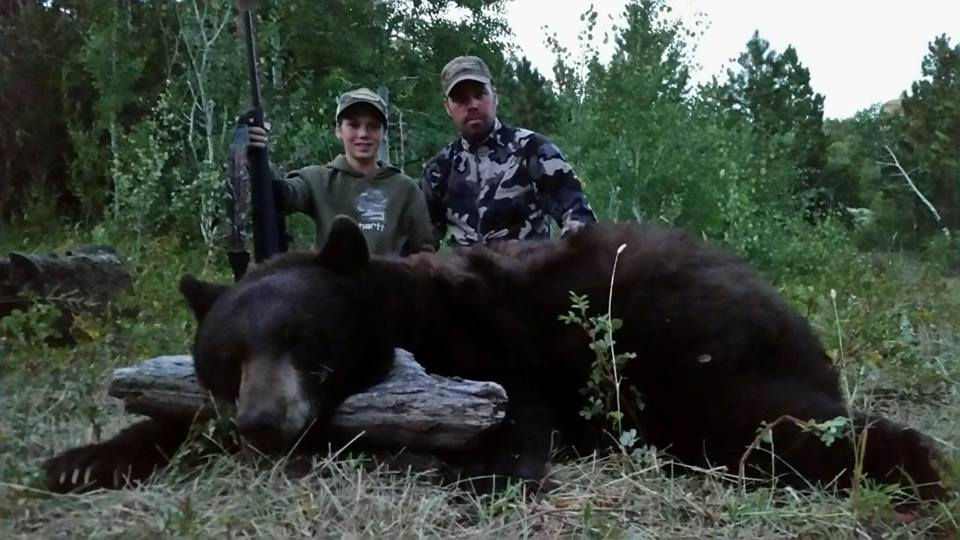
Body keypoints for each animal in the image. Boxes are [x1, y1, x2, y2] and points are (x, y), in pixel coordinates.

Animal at [43, 217, 945, 502]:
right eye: (230, 354)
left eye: (305, 340)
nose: (267, 422)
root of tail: (782, 304)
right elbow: (176, 423)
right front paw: (85, 459)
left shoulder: (489, 337)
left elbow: (516, 409)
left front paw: (485, 472)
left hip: (685, 356)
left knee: (777, 424)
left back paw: (919, 469)